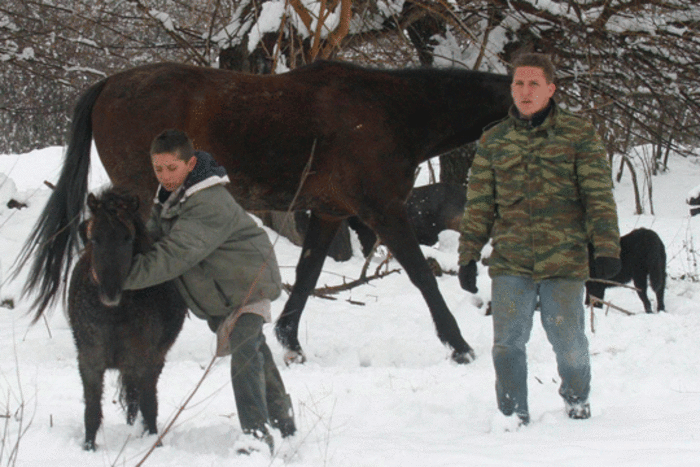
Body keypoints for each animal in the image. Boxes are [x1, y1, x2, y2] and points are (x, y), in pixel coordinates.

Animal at [16, 59, 508, 366]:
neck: (390, 112)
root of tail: (109, 84)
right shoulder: (383, 212)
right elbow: (423, 276)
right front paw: (459, 346)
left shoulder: (329, 214)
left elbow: (307, 277)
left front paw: (289, 342)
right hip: (133, 194)